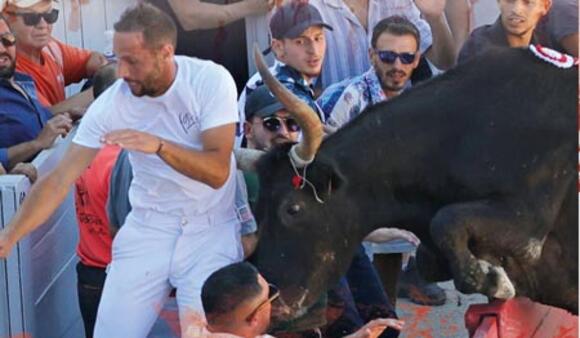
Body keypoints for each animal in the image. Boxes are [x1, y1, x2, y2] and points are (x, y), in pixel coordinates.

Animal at [247, 46, 576, 318]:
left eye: (292, 209)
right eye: (256, 208)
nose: (272, 303)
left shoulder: (528, 221)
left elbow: (446, 220)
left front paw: (495, 280)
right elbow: (429, 256)